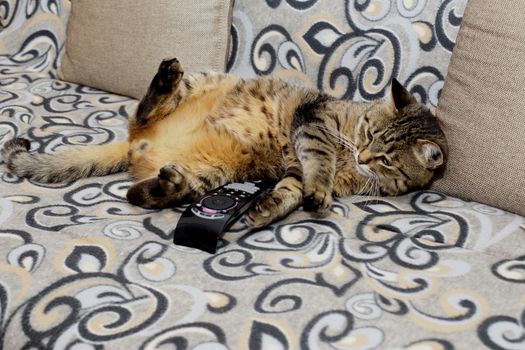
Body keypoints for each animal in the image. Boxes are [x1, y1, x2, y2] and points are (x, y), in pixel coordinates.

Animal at [2, 58, 448, 227]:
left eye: (387, 159)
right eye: (369, 134)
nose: (364, 155)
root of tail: (135, 146)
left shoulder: (289, 167)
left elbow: (290, 190)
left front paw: (269, 209)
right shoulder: (314, 120)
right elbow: (317, 161)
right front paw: (319, 191)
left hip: (213, 173)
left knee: (142, 192)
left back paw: (162, 187)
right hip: (200, 81)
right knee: (143, 112)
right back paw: (164, 80)